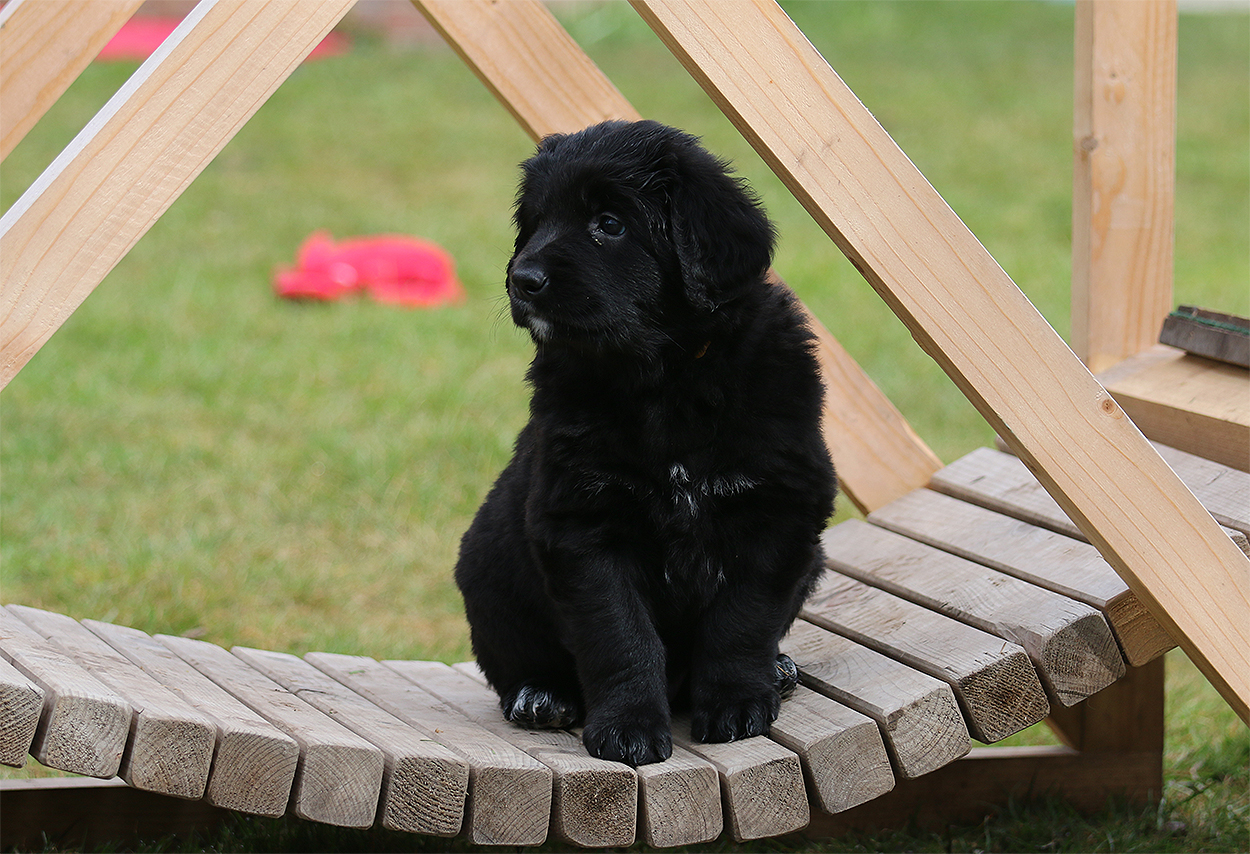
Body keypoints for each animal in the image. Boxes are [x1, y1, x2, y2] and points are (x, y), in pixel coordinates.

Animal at [454, 120, 836, 767]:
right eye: (536, 221)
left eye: (610, 223)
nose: (521, 280)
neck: (665, 378)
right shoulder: (584, 526)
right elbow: (620, 637)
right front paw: (628, 726)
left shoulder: (778, 513)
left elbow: (742, 622)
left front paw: (737, 704)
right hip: (487, 568)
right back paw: (539, 696)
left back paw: (778, 669)